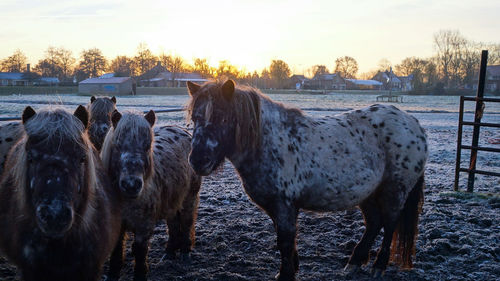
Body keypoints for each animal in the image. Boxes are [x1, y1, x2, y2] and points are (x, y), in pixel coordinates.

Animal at [100, 109, 202, 280]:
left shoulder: (144, 225)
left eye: (147, 146)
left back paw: (185, 253)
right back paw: (169, 253)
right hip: (172, 201)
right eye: (117, 145)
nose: (131, 185)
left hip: (189, 198)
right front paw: (112, 275)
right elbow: (116, 251)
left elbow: (140, 251)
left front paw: (140, 275)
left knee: (187, 222)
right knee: (173, 225)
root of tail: (182, 130)